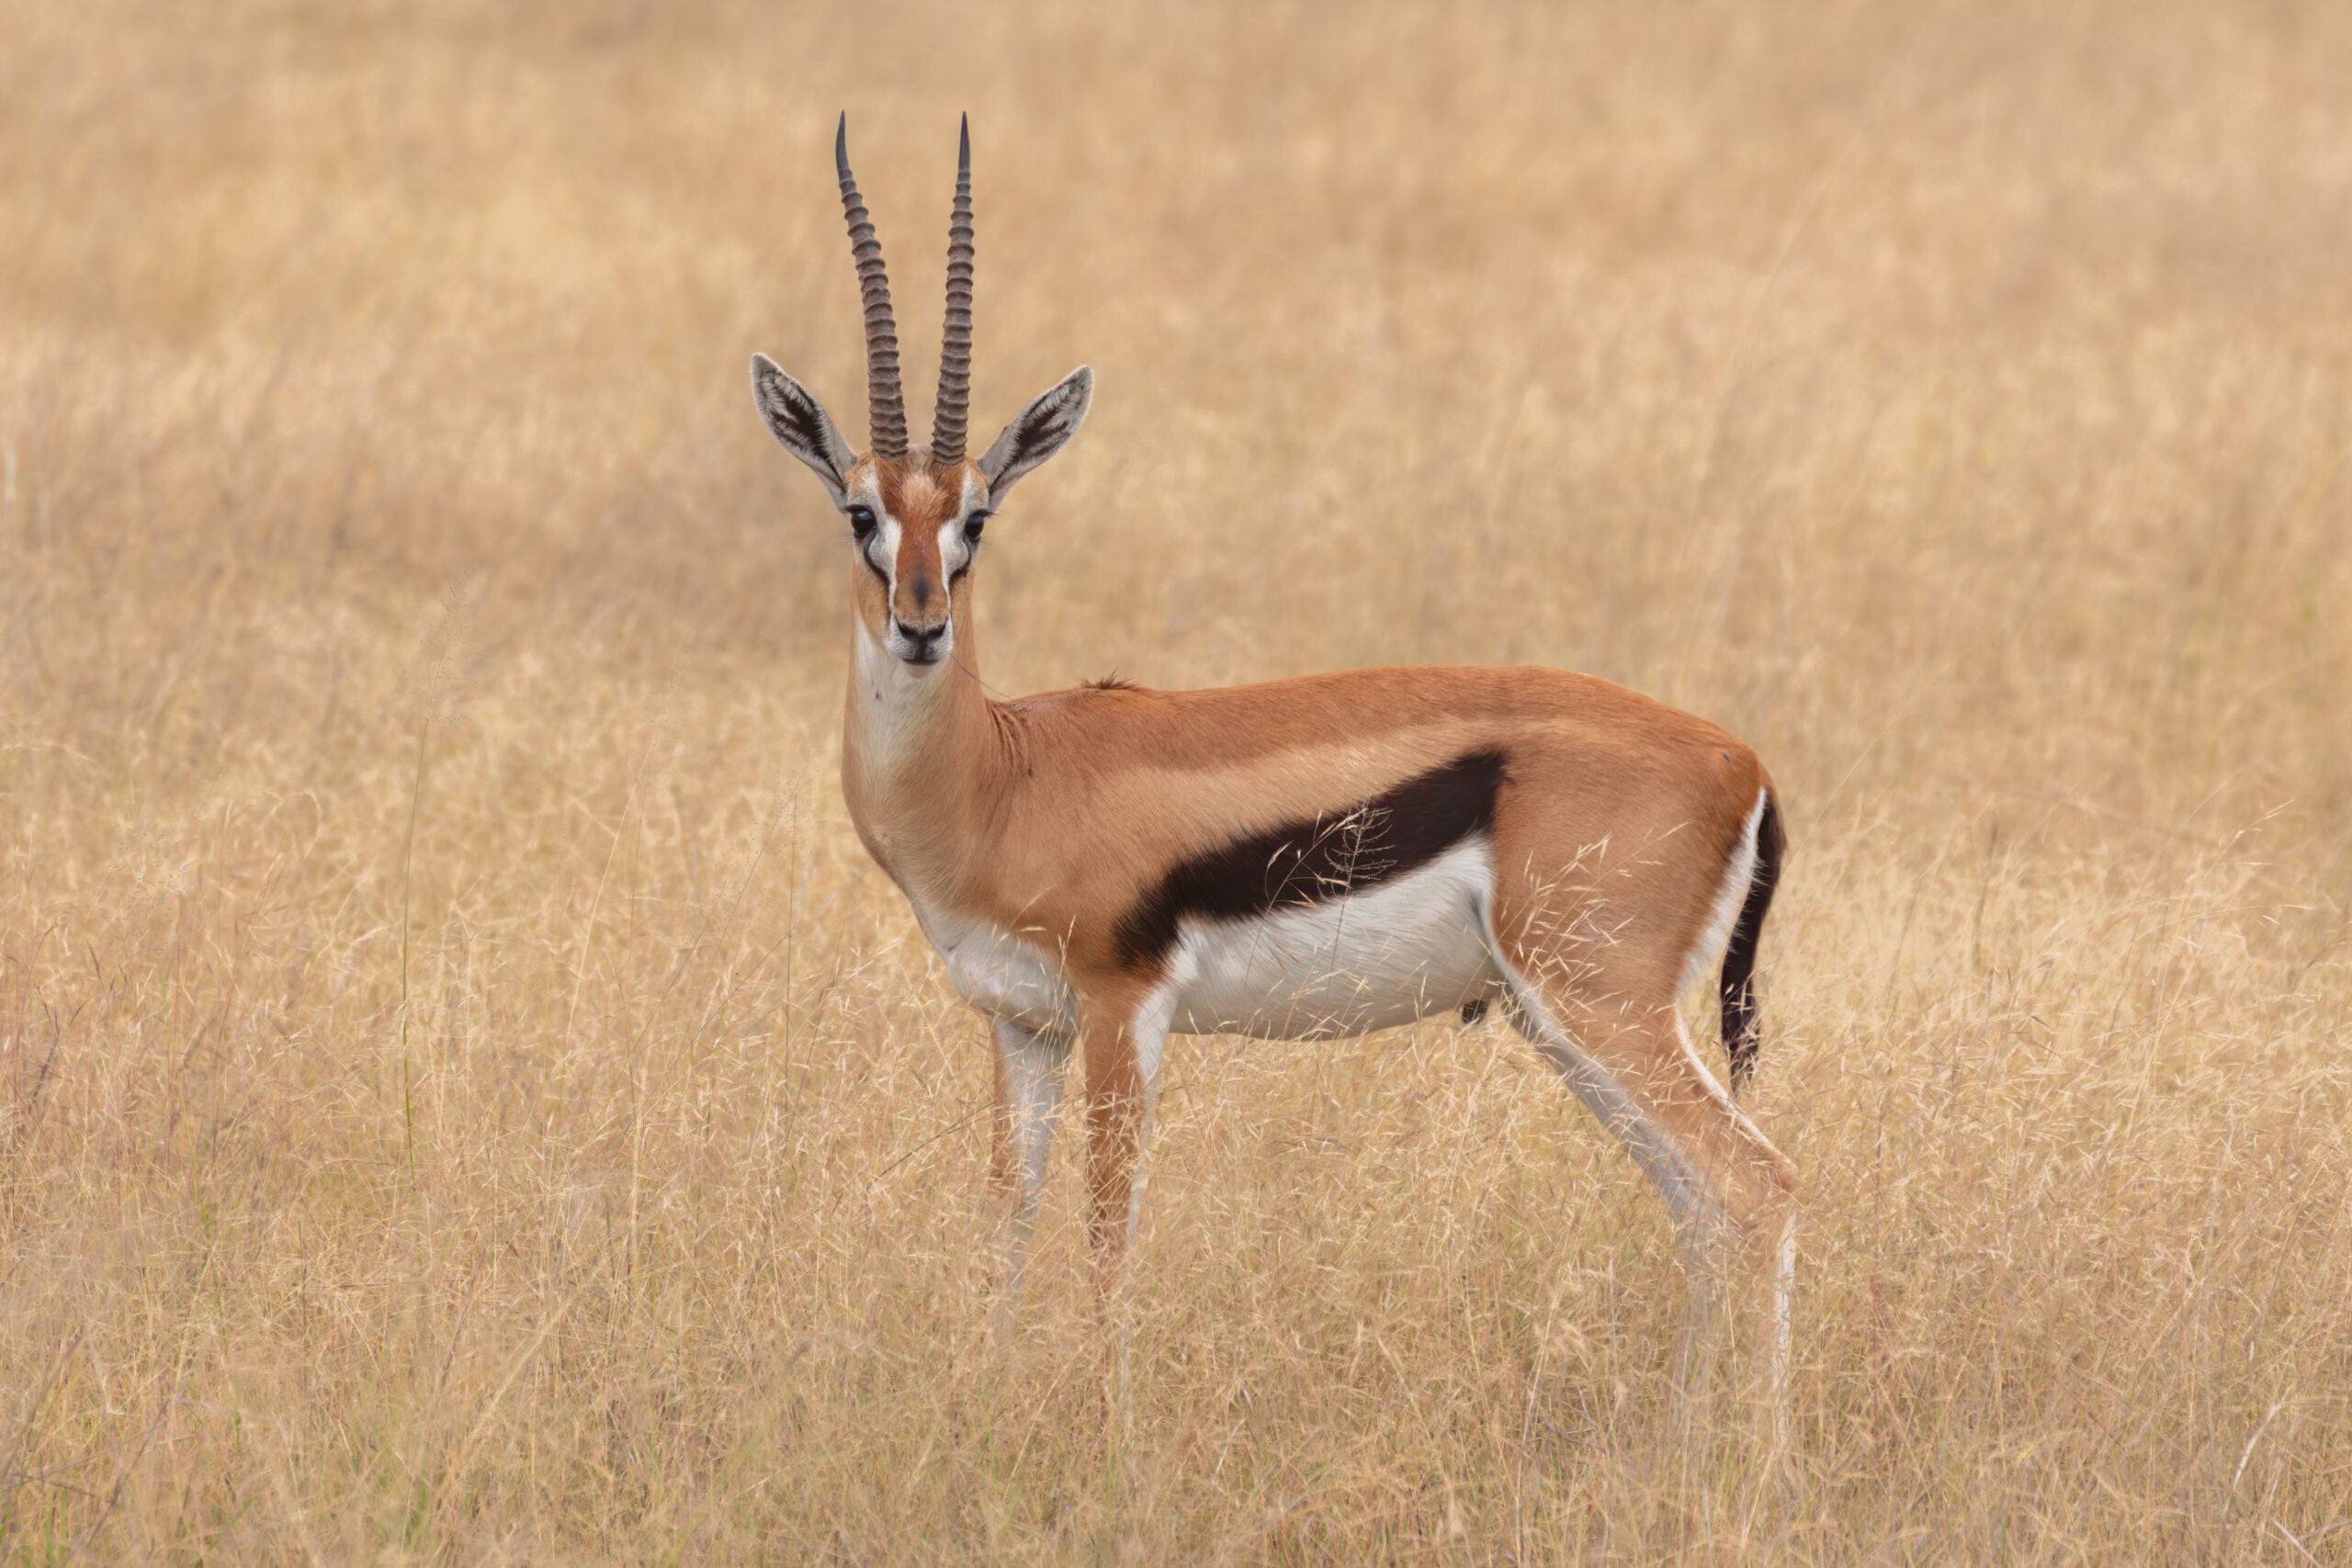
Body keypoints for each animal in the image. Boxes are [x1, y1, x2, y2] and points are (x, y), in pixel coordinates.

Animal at [750, 116, 1798, 1408]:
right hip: (1567, 1025)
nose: (920, 624)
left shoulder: (1122, 1010)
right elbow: (1005, 1226)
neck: (1001, 776)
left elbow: (1106, 1237)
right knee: (1700, 1209)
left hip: (1599, 1007)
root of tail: (1742, 761)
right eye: (860, 513)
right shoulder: (1020, 1026)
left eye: (977, 517)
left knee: (1758, 1189)